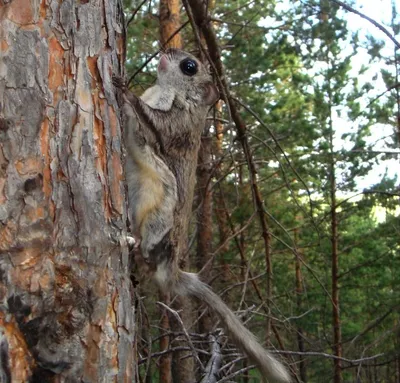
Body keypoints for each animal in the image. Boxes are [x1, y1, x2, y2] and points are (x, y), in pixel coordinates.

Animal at [112, 48, 290, 383]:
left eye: (189, 66)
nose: (166, 50)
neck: (170, 91)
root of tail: (171, 270)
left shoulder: (176, 125)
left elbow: (152, 122)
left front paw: (125, 91)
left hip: (162, 215)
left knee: (151, 247)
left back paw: (140, 251)